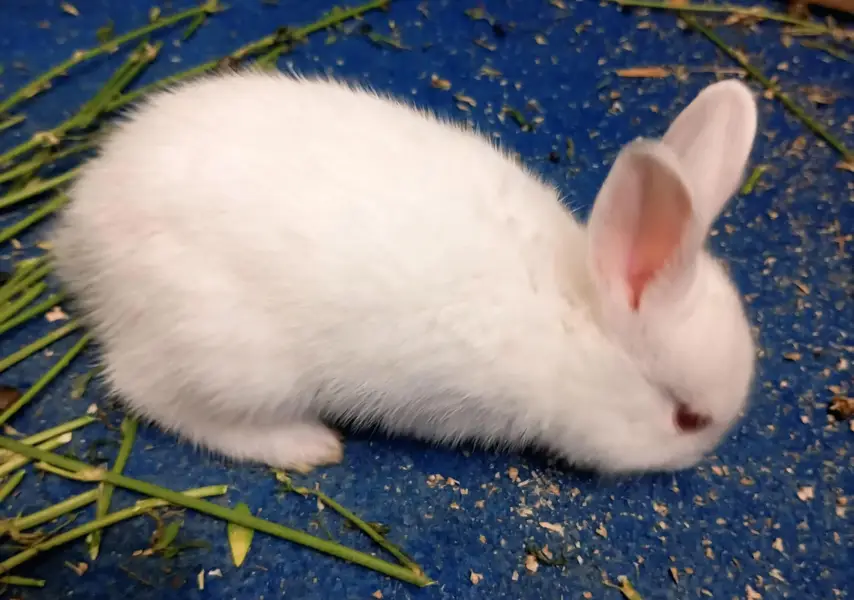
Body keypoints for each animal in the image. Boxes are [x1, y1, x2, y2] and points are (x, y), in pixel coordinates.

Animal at [50, 70, 758, 474]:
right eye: (688, 419)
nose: (702, 456)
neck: (574, 318)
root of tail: (84, 229)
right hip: (232, 357)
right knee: (150, 393)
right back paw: (305, 446)